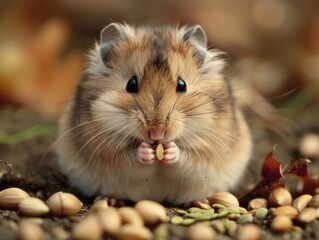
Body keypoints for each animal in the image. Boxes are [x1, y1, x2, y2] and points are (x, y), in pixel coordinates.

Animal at [57, 23, 252, 205]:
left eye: (182, 85)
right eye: (131, 84)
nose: (156, 134)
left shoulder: (209, 146)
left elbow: (189, 156)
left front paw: (170, 151)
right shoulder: (103, 145)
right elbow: (126, 156)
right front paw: (146, 152)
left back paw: (199, 202)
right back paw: (110, 200)